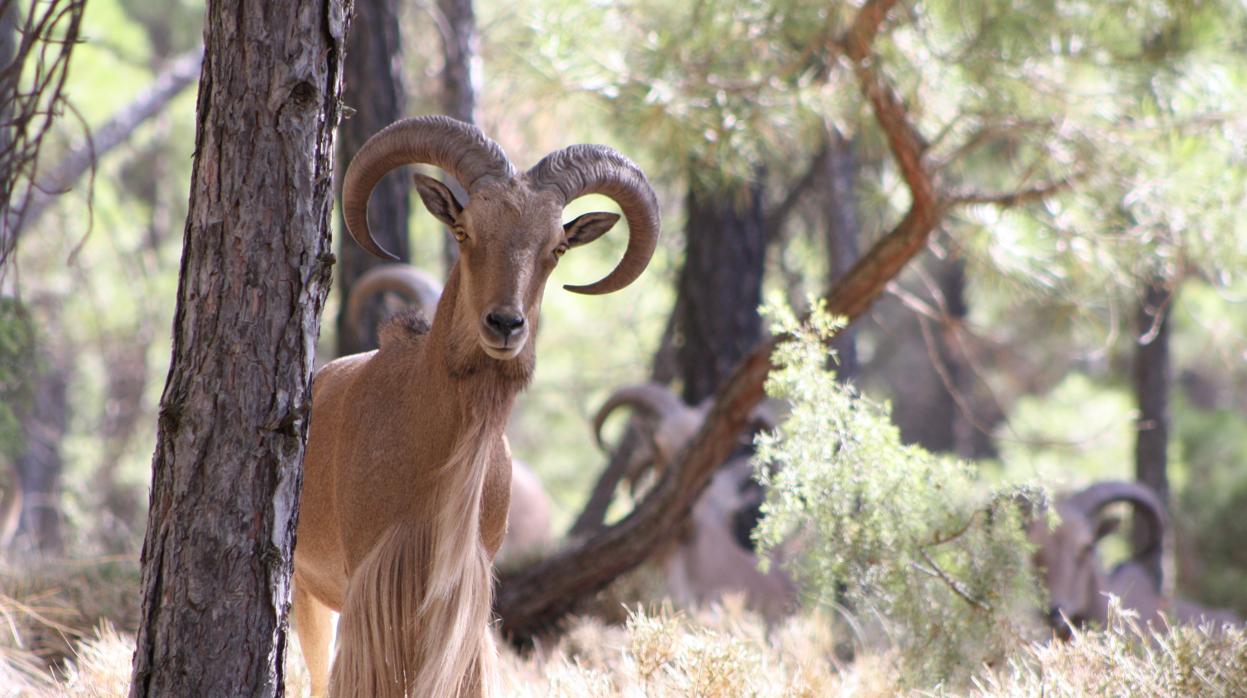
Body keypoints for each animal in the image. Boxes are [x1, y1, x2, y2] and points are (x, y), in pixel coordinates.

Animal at [293, 117, 663, 693]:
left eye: (557, 247)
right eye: (465, 232)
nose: (505, 324)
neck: (436, 447)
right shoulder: (370, 595)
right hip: (307, 592)